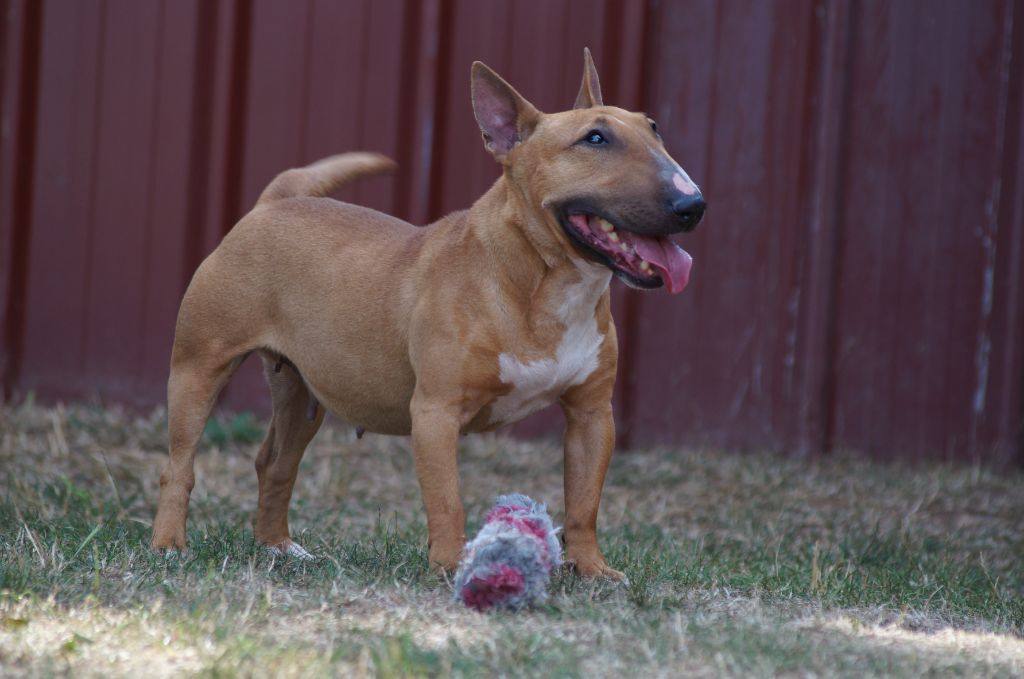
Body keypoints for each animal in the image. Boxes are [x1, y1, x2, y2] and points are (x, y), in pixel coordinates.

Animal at [151, 49, 704, 577]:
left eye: (654, 127)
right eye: (594, 138)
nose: (693, 204)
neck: (542, 283)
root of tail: (276, 202)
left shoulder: (592, 416)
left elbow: (584, 504)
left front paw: (592, 570)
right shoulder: (436, 412)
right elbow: (447, 502)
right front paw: (449, 566)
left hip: (302, 395)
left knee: (275, 463)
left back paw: (279, 548)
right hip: (198, 369)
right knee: (179, 465)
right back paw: (169, 546)